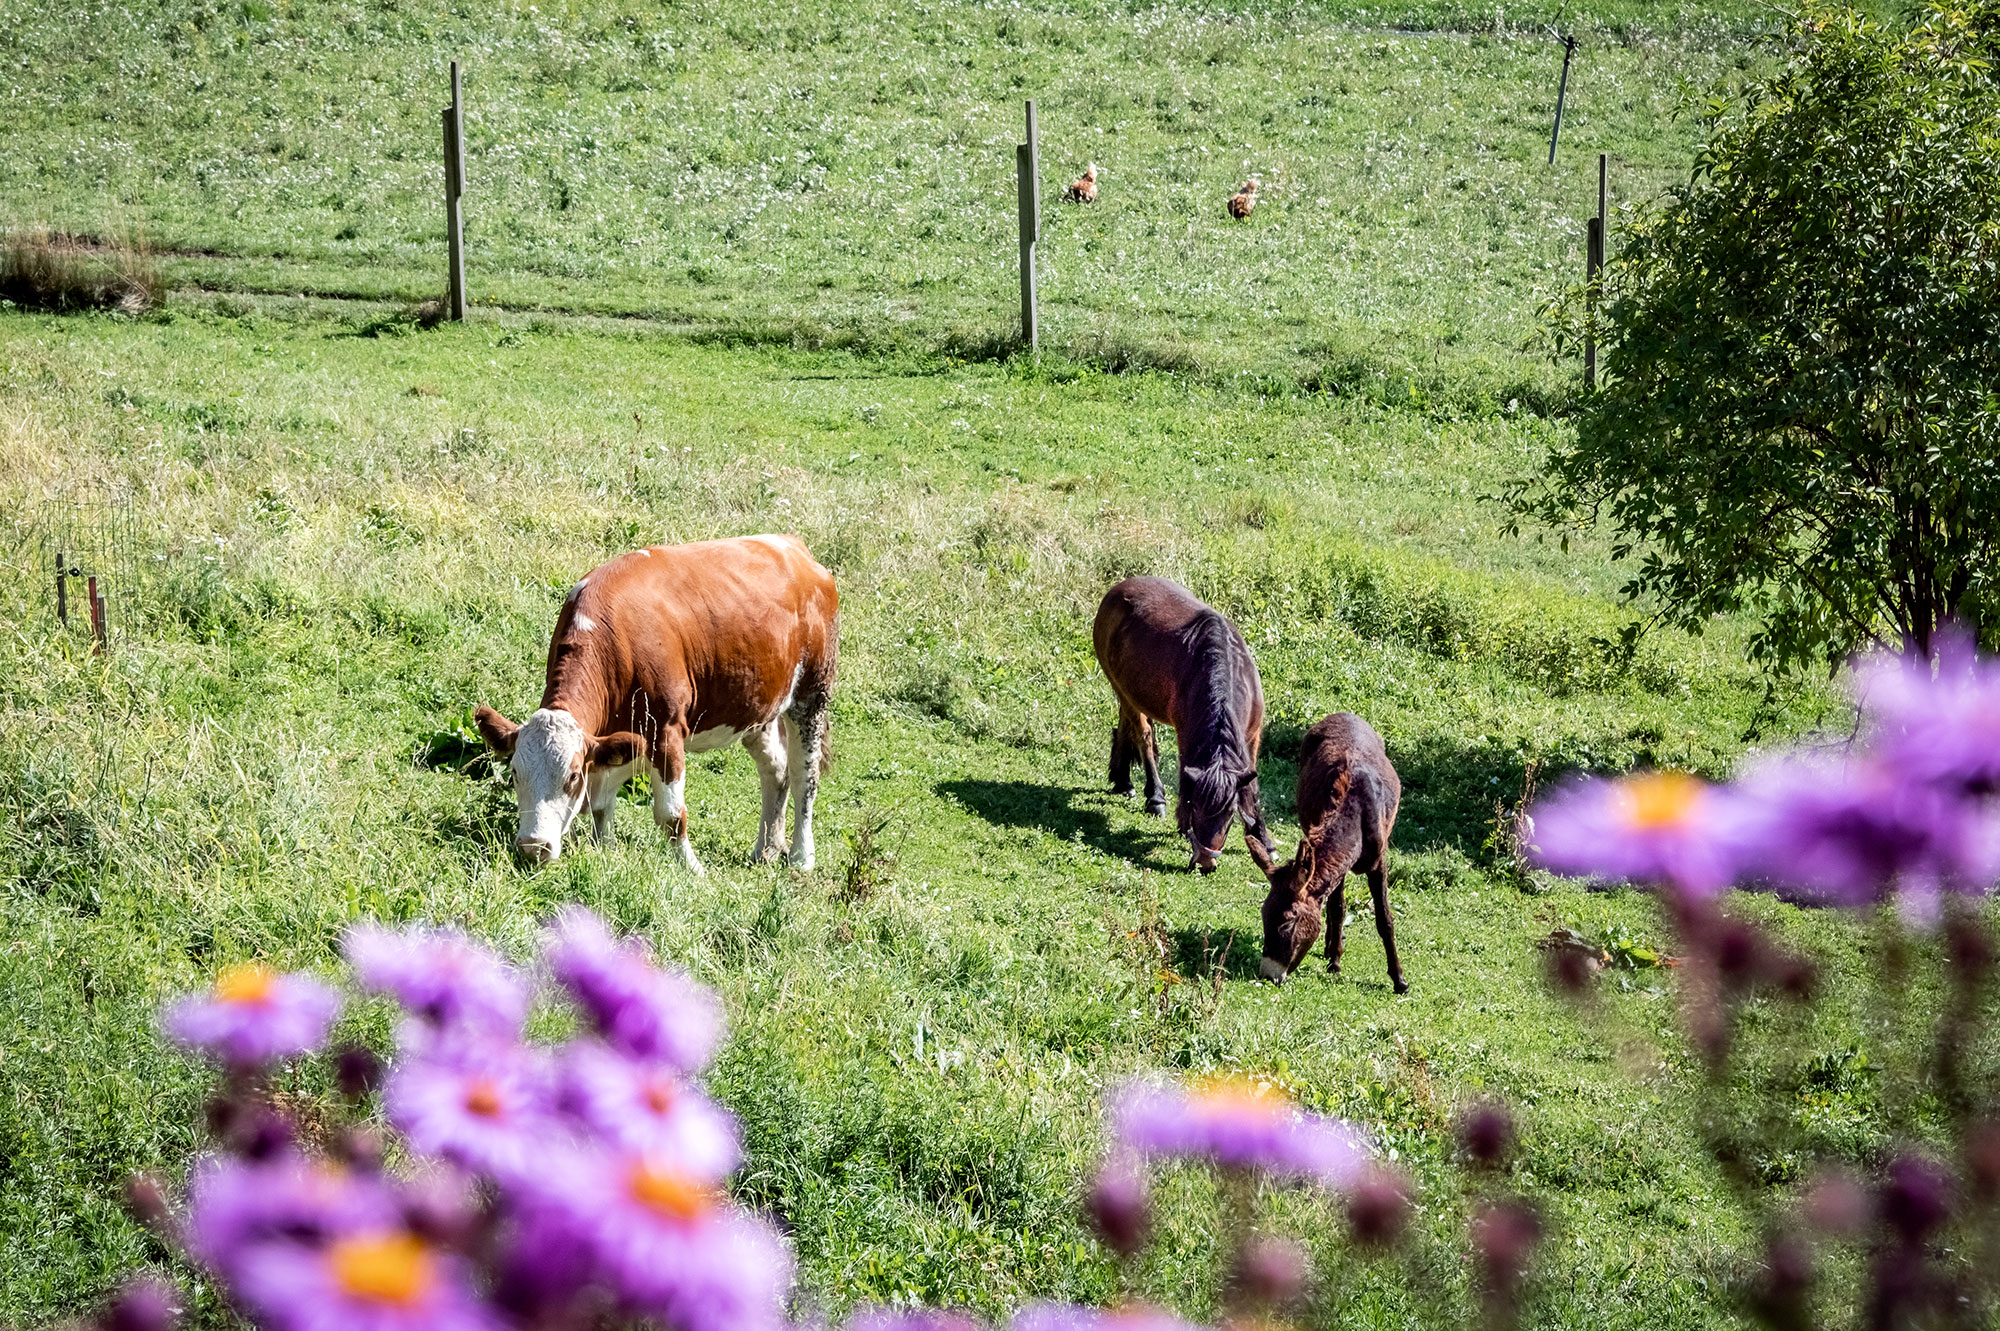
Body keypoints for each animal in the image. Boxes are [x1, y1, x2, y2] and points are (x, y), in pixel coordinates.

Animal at [1092, 577, 1275, 873]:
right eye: (1196, 808)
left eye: (1229, 816)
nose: (1205, 862)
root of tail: (1118, 589)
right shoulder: (1187, 736)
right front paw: (1180, 821)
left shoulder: (1252, 736)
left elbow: (1252, 787)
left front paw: (1263, 838)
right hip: (1124, 691)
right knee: (1142, 735)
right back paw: (1154, 797)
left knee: (1125, 725)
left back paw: (1123, 780)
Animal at [1247, 712, 1408, 993]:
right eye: (1264, 914)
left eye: (1287, 922)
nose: (1269, 974)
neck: (1354, 813)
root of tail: (1343, 714)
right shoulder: (1337, 863)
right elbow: (1337, 908)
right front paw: (1335, 961)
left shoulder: (1379, 861)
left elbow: (1384, 919)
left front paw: (1399, 980)